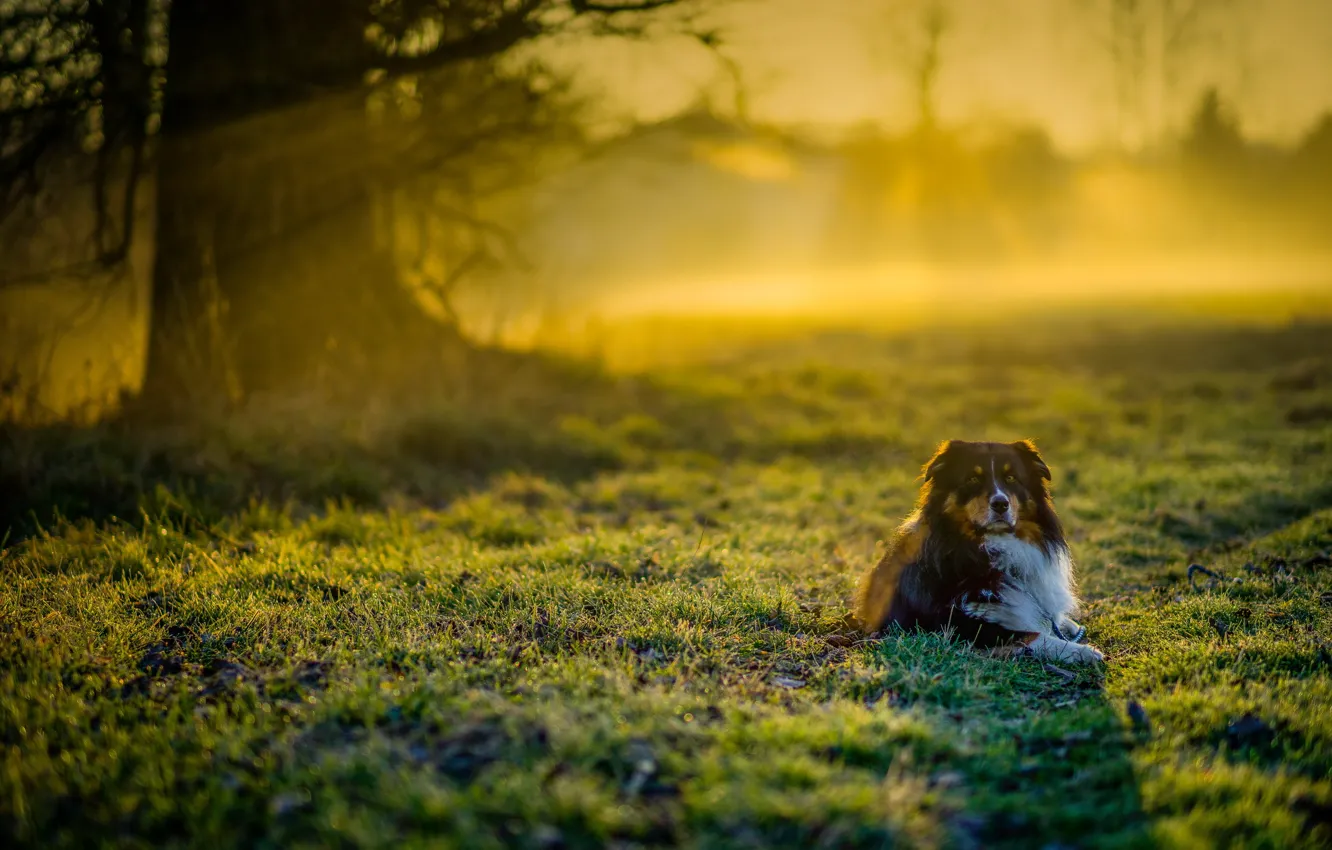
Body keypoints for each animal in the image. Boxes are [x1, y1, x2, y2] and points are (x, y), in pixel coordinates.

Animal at [852, 439, 1102, 666]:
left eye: (1011, 478)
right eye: (972, 479)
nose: (1000, 504)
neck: (990, 548)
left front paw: (1071, 628)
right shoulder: (958, 625)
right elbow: (1032, 635)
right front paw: (1082, 651)